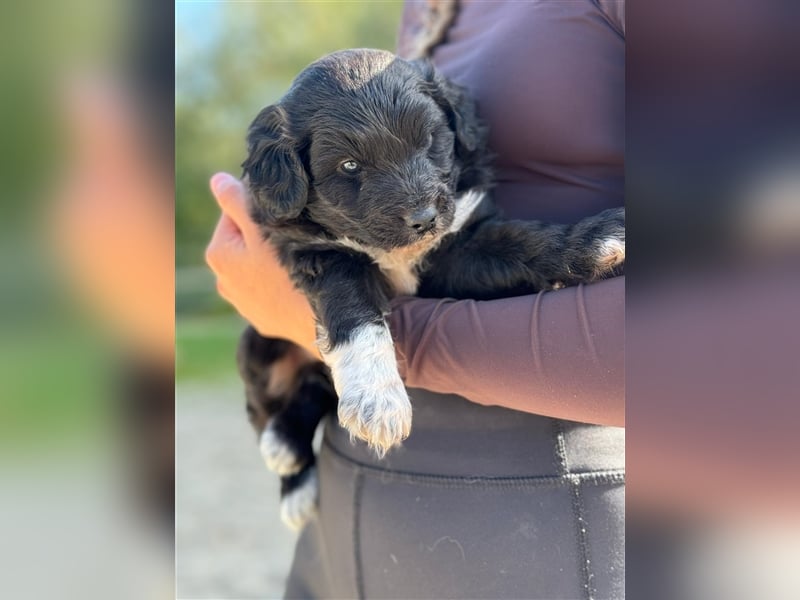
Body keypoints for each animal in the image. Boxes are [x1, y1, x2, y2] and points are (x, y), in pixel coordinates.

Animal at [234, 50, 620, 528]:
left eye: (430, 140)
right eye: (349, 166)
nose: (422, 218)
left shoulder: (458, 249)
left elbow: (521, 241)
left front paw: (593, 240)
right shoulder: (321, 254)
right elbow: (354, 311)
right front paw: (377, 397)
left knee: (314, 386)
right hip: (257, 350)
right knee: (267, 406)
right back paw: (290, 465)